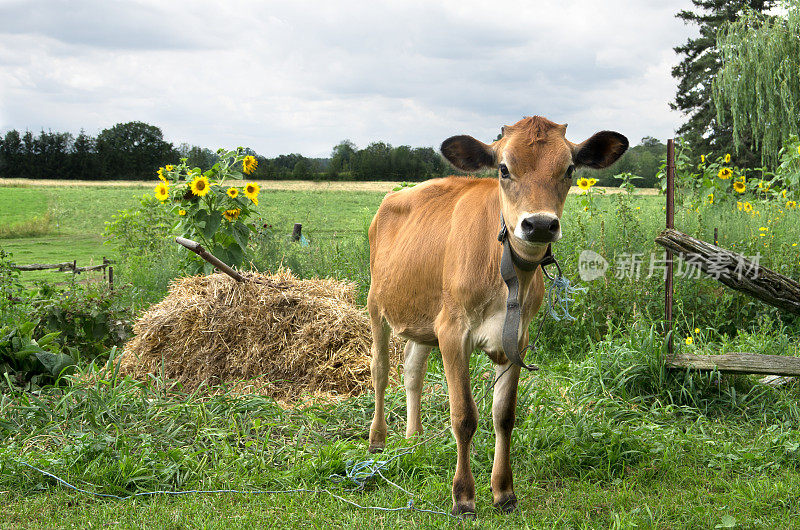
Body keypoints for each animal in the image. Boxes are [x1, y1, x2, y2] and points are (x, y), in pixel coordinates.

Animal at [366, 116, 628, 516]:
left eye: (569, 169)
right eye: (503, 169)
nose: (539, 224)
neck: (504, 271)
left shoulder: (516, 339)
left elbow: (504, 416)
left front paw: (503, 492)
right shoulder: (452, 331)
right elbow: (464, 416)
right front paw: (463, 496)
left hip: (424, 319)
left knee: (412, 371)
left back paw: (414, 438)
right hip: (376, 305)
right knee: (380, 372)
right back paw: (378, 440)